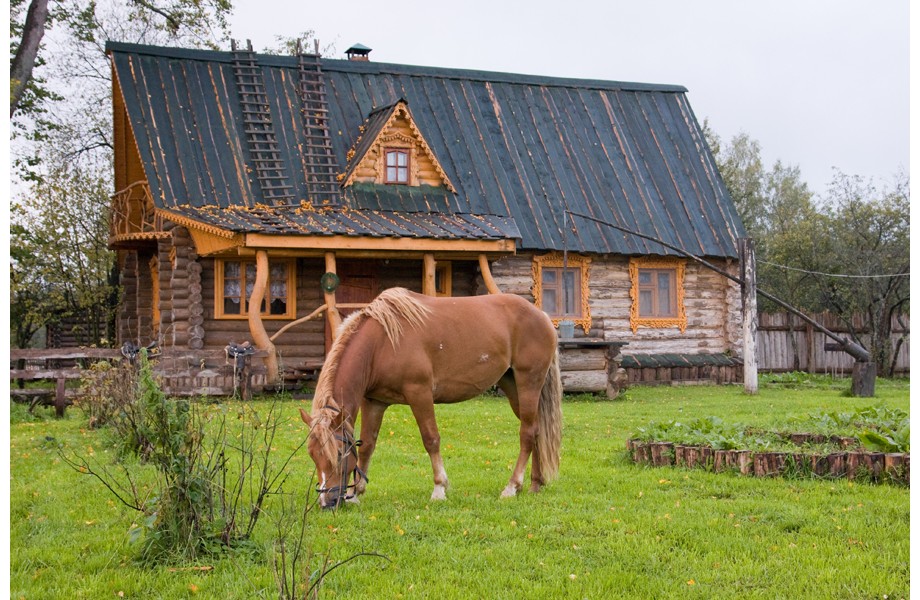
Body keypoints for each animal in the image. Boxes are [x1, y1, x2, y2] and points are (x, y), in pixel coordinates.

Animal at [300, 288, 560, 508]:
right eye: (312, 454)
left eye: (338, 454)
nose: (327, 502)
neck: (382, 341)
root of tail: (542, 316)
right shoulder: (374, 402)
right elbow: (368, 445)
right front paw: (357, 493)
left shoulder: (420, 393)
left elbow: (431, 439)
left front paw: (439, 489)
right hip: (513, 386)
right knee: (536, 429)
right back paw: (535, 484)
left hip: (528, 383)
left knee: (527, 434)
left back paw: (512, 487)